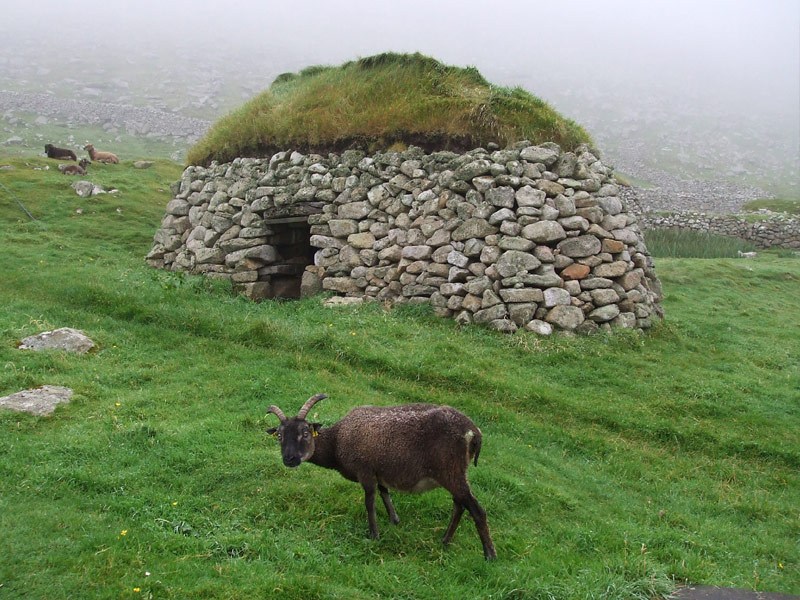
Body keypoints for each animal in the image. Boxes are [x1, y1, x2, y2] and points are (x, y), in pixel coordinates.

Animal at [266, 394, 496, 556]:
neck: (337, 441)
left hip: (451, 470)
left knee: (476, 510)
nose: (290, 459)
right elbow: (385, 492)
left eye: (305, 433)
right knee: (460, 505)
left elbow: (370, 503)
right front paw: (395, 519)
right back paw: (446, 540)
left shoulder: (366, 470)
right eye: (279, 436)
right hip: (454, 473)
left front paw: (374, 535)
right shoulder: (379, 471)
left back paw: (489, 555)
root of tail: (474, 432)